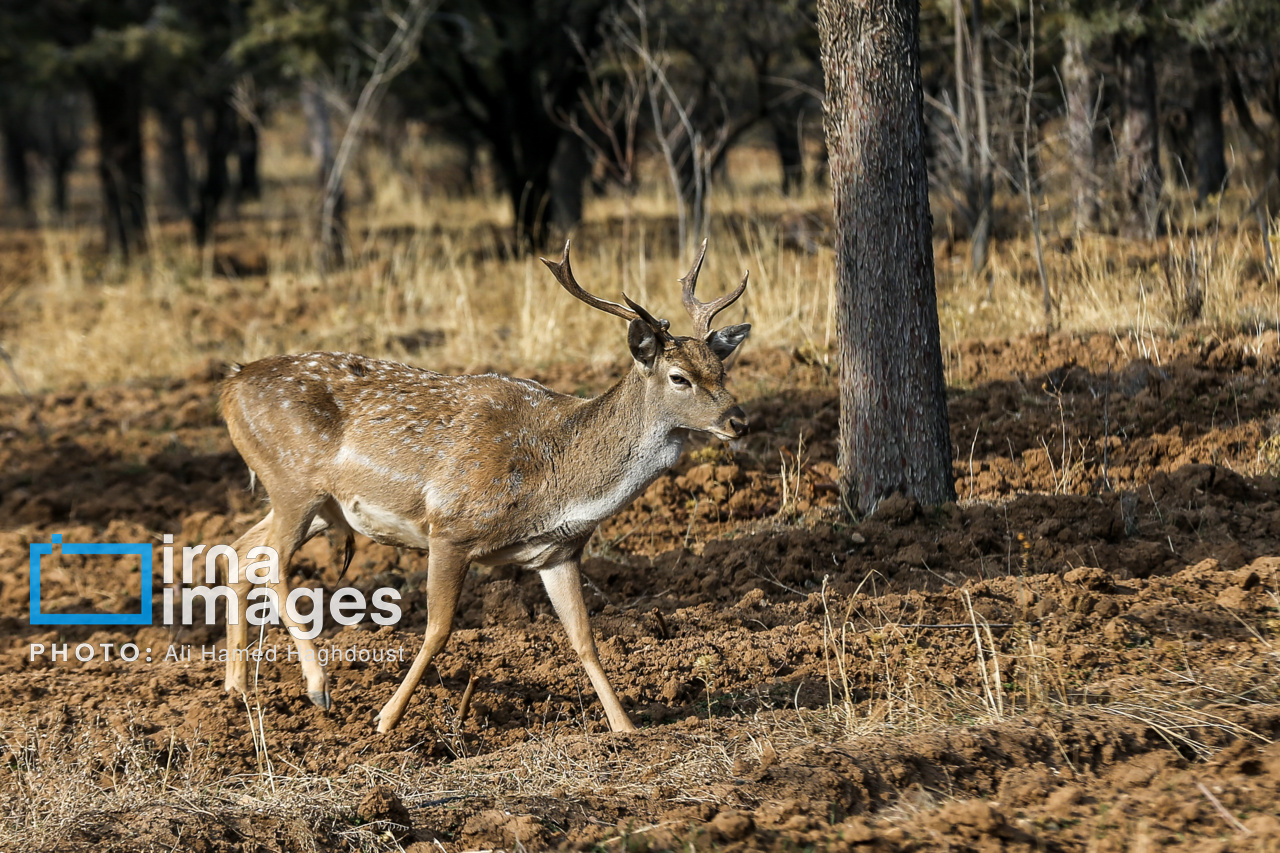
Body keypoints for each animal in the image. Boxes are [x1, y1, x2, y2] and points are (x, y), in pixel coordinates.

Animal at [215, 239, 747, 732]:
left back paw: (236, 688)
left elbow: (584, 638)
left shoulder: (558, 551)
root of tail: (230, 384)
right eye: (679, 377)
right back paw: (317, 687)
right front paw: (386, 719)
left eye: (722, 369)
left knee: (241, 551)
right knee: (271, 562)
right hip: (294, 482)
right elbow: (437, 629)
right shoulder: (451, 527)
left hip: (318, 505)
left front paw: (625, 726)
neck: (556, 483)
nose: (739, 420)